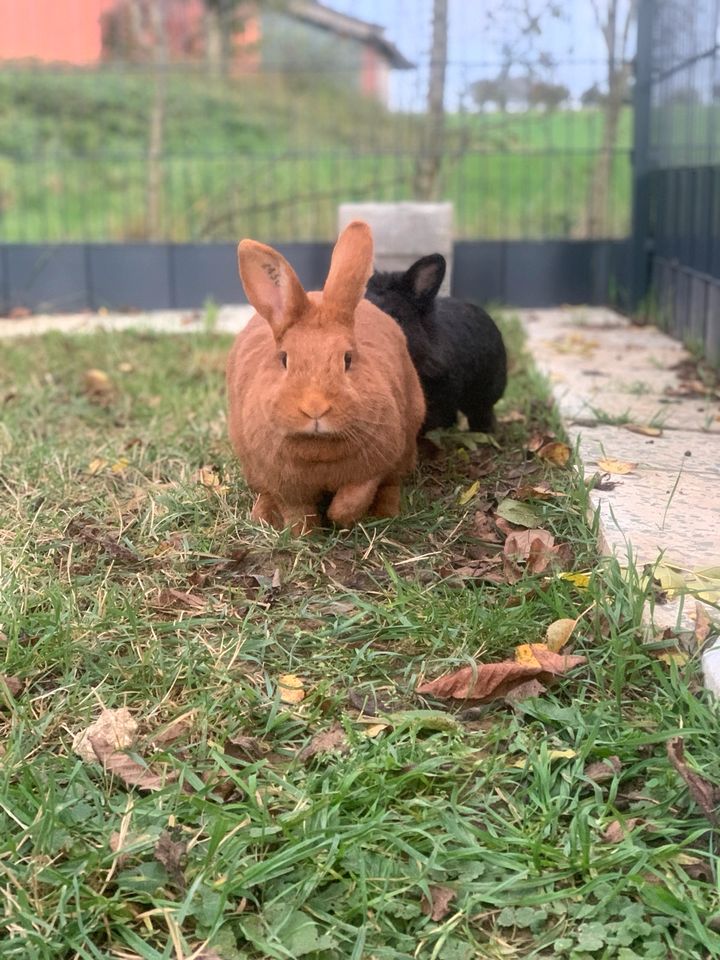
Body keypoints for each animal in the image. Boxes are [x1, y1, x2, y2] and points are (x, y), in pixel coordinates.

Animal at [228, 221, 424, 532]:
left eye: (348, 358)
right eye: (284, 359)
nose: (315, 408)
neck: (319, 450)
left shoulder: (374, 466)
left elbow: (355, 496)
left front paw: (338, 520)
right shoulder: (285, 486)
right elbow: (297, 511)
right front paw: (303, 535)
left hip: (405, 450)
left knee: (392, 485)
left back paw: (387, 513)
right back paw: (262, 515)